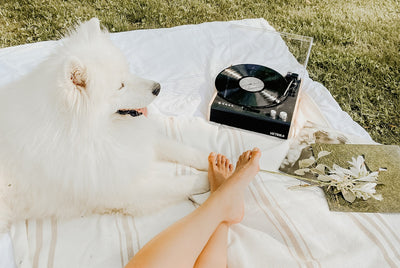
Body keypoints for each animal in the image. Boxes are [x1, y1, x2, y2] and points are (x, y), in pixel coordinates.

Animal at [0, 19, 211, 232]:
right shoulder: (123, 190)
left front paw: (213, 158)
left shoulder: (135, 144)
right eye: (120, 86)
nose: (158, 88)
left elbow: (181, 149)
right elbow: (177, 183)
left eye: (128, 71)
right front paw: (210, 177)